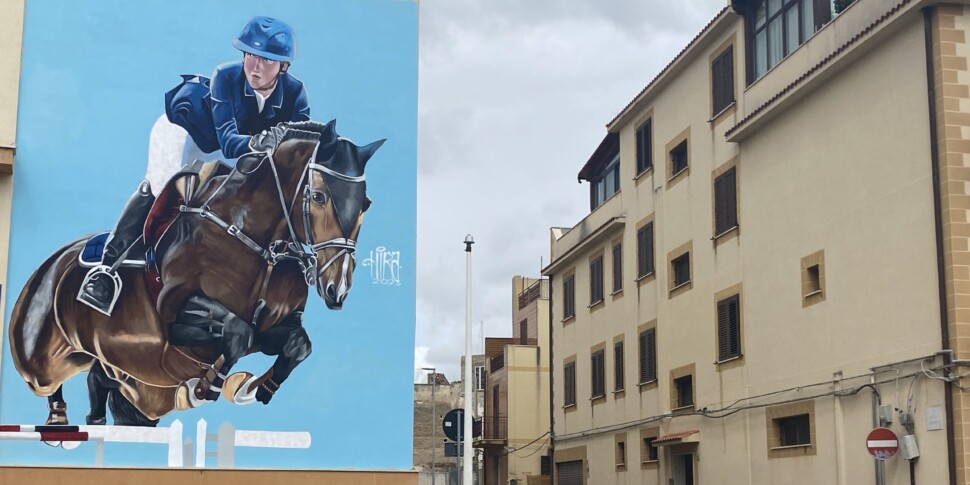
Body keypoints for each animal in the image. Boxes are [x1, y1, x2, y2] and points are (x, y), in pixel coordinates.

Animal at [5, 120, 382, 424]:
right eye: (318, 196)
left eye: (365, 203)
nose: (338, 288)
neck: (255, 239)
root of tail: (49, 265)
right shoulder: (175, 313)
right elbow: (239, 332)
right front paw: (207, 387)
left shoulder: (276, 324)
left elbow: (297, 344)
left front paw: (256, 388)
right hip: (41, 358)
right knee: (50, 383)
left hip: (133, 381)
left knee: (101, 383)